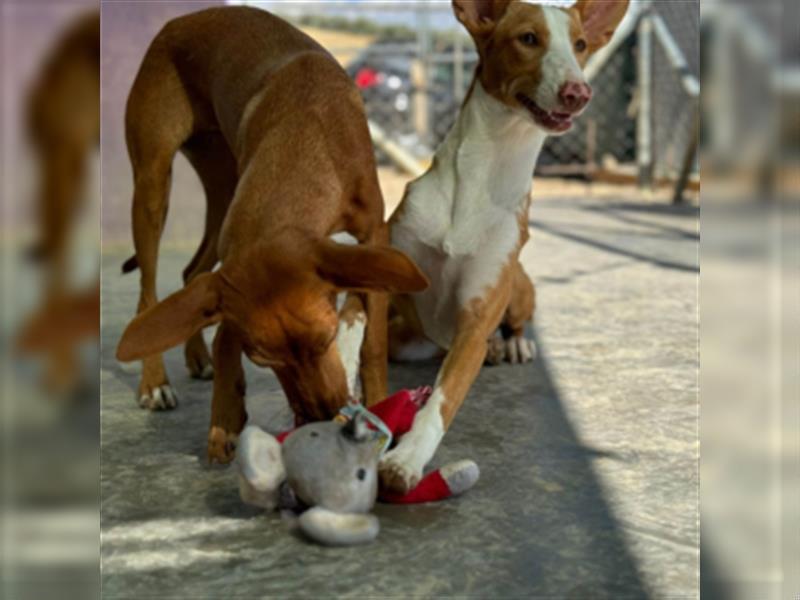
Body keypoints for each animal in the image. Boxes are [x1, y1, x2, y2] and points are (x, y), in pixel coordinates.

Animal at [115, 7, 428, 462]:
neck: (303, 137)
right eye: (264, 360)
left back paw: (197, 358)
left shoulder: (373, 234)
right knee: (149, 291)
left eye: (328, 339)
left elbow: (373, 342)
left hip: (221, 189)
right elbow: (226, 332)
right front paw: (225, 418)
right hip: (154, 183)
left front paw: (379, 403)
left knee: (192, 274)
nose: (321, 416)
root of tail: (180, 21)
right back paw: (155, 382)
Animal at [376, 0, 632, 492]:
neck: (484, 174)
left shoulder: (477, 319)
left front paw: (406, 459)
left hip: (520, 282)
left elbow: (442, 400)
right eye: (528, 38)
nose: (579, 92)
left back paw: (513, 346)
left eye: (580, 45)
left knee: (515, 322)